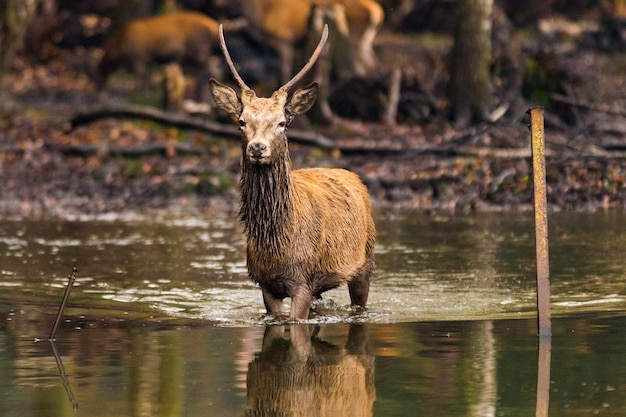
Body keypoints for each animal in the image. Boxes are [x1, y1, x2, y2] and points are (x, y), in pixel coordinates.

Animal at [210, 24, 376, 320]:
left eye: (282, 122)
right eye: (241, 121)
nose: (257, 147)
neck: (277, 248)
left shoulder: (302, 282)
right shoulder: (265, 285)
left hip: (365, 261)